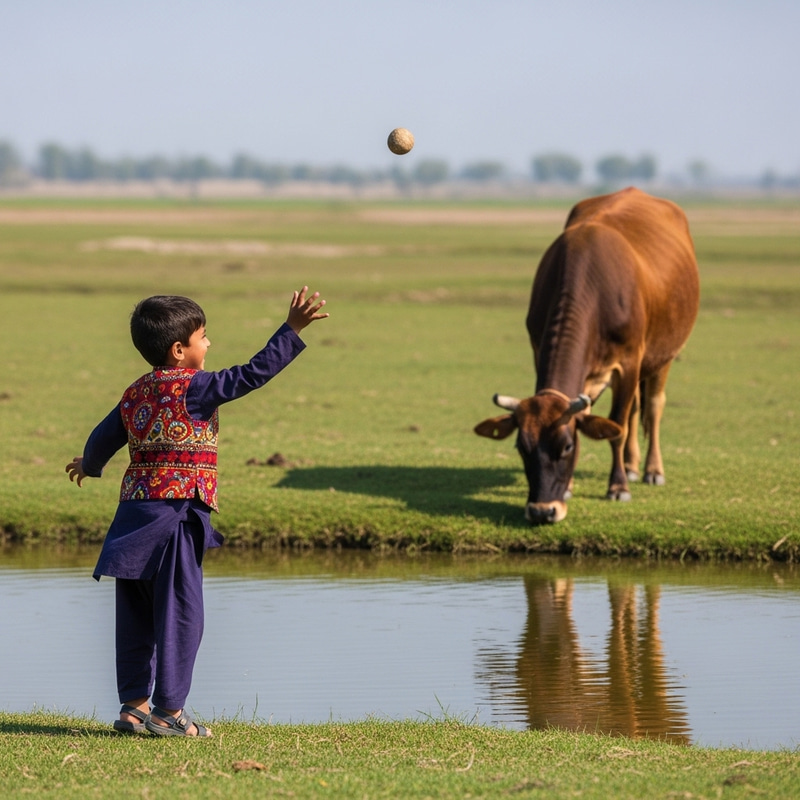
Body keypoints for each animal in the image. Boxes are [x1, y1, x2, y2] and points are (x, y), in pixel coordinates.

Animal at [474, 187, 699, 524]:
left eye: (567, 446)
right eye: (521, 447)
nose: (542, 511)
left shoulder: (629, 362)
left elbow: (616, 427)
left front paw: (618, 487)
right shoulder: (542, 351)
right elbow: (600, 420)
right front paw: (570, 487)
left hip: (664, 355)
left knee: (652, 406)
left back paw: (651, 470)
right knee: (634, 409)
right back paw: (632, 466)